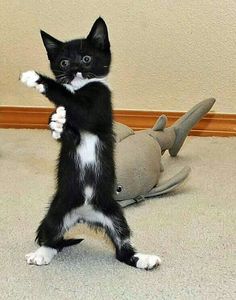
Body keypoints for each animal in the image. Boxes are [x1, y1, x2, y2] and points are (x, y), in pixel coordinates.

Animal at [20, 17, 160, 270]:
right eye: (64, 62)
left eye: (86, 58)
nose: (75, 70)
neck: (80, 88)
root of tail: (84, 215)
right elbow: (69, 131)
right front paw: (57, 122)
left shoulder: (100, 106)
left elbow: (75, 104)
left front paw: (38, 79)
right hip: (57, 210)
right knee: (52, 239)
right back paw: (42, 254)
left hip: (114, 213)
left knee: (122, 249)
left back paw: (143, 259)